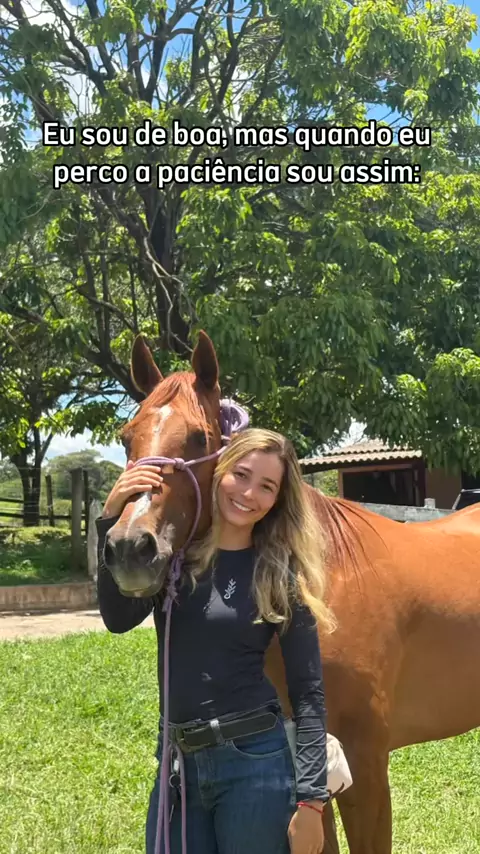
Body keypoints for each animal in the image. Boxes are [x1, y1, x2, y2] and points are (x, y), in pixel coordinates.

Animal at [102, 330, 480, 854]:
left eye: (199, 438)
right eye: (126, 437)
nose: (130, 548)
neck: (327, 581)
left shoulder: (365, 764)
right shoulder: (310, 765)